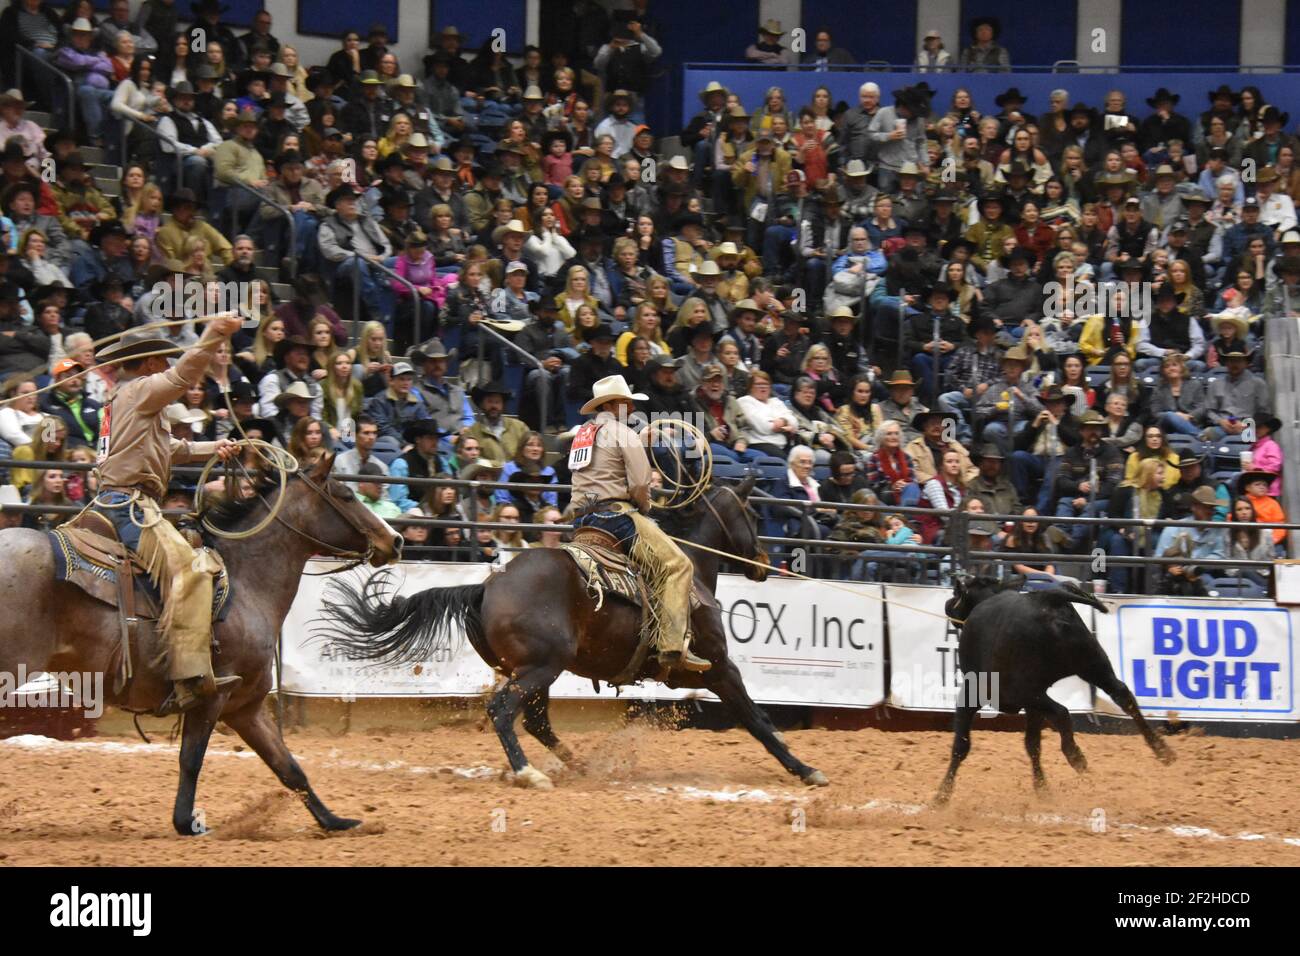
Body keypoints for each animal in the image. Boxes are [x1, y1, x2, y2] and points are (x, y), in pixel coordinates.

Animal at [0, 452, 400, 832]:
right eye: (346, 495)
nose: (394, 540)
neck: (247, 583)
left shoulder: (245, 707)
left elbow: (288, 766)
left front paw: (337, 822)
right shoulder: (212, 695)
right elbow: (191, 759)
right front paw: (187, 823)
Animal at [319, 481, 826, 790]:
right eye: (752, 515)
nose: (764, 562)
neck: (693, 571)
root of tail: (487, 586)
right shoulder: (719, 666)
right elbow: (757, 719)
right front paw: (805, 769)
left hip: (535, 670)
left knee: (537, 721)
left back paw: (580, 767)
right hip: (542, 667)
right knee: (504, 711)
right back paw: (530, 773)